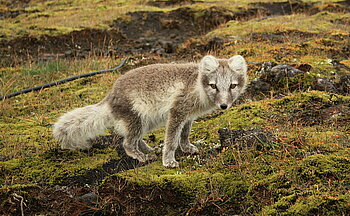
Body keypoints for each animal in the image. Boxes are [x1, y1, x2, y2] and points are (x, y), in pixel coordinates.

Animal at [53, 55, 247, 167]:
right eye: (214, 86)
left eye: (232, 86)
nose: (224, 106)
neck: (196, 86)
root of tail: (110, 97)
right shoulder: (177, 112)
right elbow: (171, 140)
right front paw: (168, 161)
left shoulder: (188, 116)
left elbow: (184, 135)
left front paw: (188, 148)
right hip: (136, 120)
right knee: (127, 143)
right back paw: (142, 157)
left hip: (146, 122)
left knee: (135, 139)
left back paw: (148, 150)